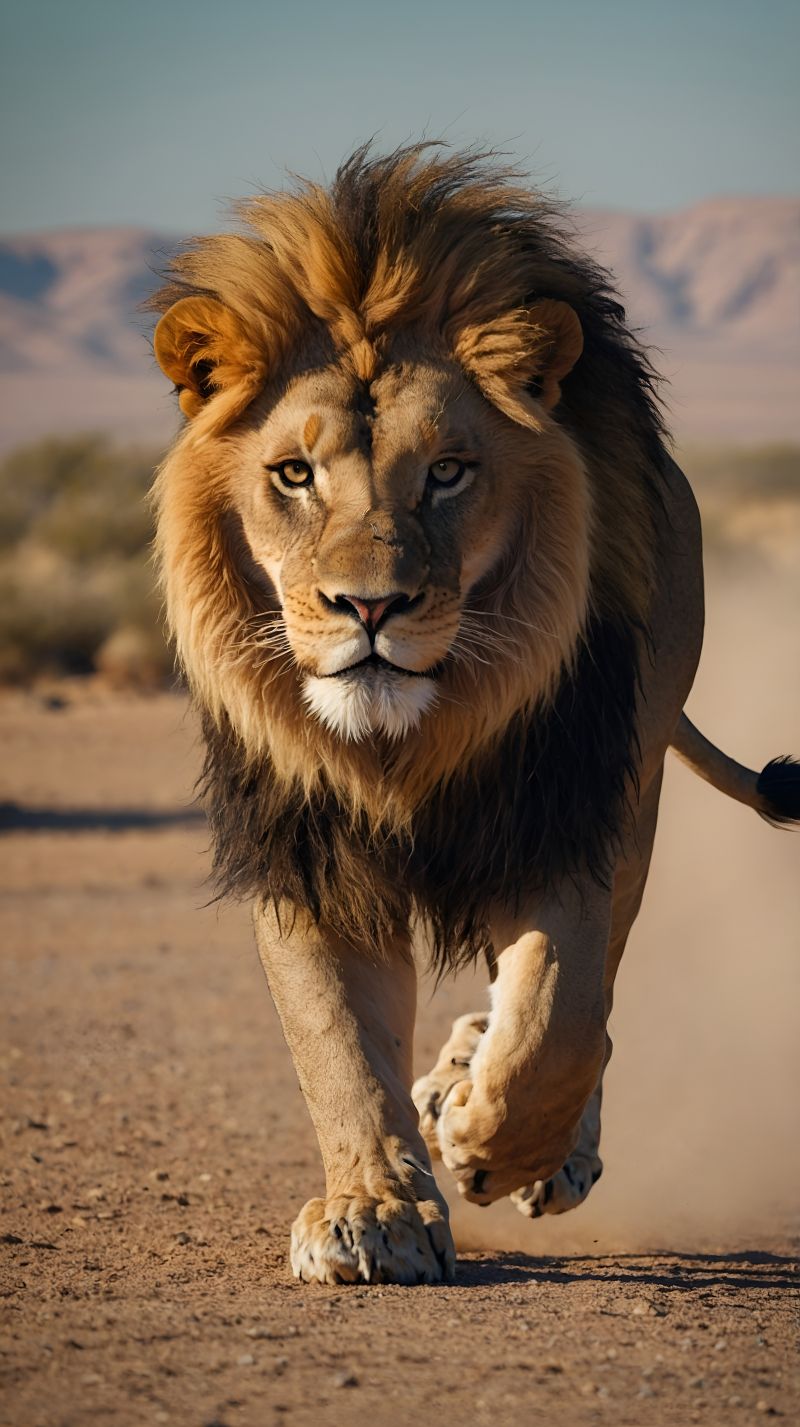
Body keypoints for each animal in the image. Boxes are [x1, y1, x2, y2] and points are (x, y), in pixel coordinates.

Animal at [151, 144, 799, 1285]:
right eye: (293, 474)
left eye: (447, 472)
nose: (368, 607)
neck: (410, 738)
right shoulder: (306, 839)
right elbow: (335, 1037)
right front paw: (372, 1209)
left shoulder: (569, 806)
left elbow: (561, 1014)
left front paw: (492, 1142)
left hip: (636, 772)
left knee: (588, 996)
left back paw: (508, 1118)